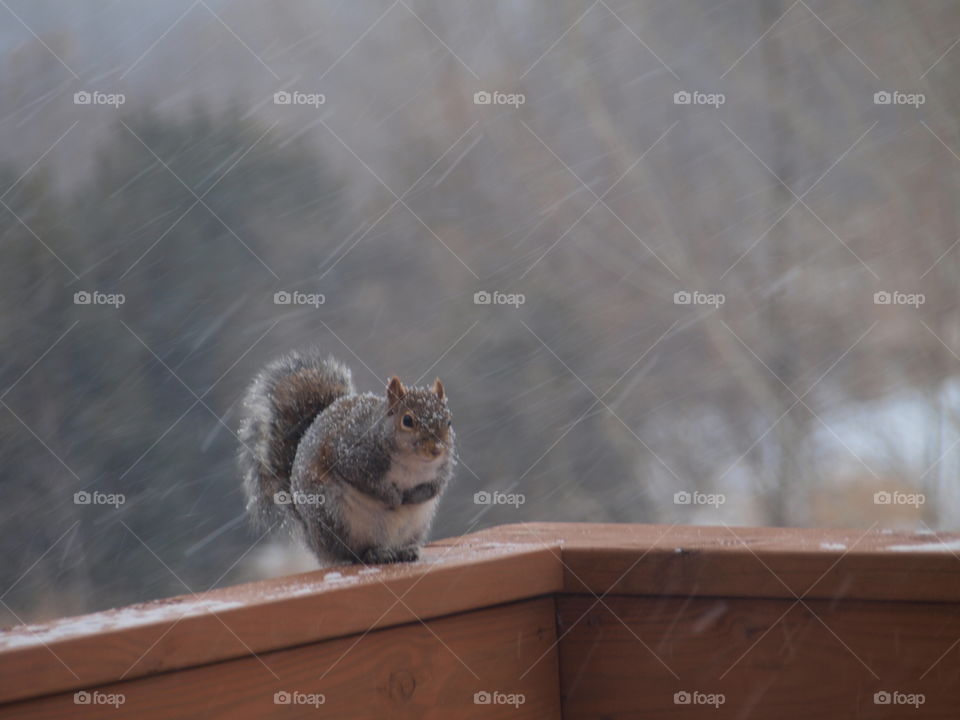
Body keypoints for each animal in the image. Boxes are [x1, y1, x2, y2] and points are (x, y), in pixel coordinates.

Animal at [238, 349, 456, 565]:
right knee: (350, 554)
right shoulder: (351, 455)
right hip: (334, 518)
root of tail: (312, 539)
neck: (412, 463)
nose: (436, 449)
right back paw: (373, 554)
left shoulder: (442, 469)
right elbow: (368, 483)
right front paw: (393, 497)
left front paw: (414, 496)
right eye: (407, 420)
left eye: (449, 421)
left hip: (414, 527)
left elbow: (435, 487)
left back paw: (404, 551)